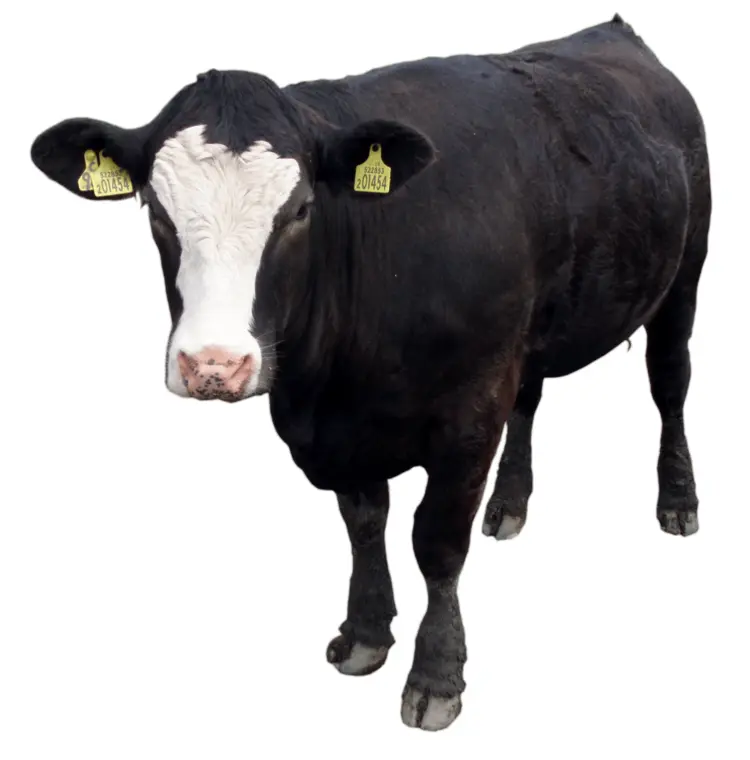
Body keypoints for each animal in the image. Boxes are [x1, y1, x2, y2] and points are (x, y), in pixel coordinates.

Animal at [30, 14, 711, 731]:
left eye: (301, 210)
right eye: (156, 212)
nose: (214, 363)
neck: (334, 383)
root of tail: (612, 31)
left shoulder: (470, 412)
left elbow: (435, 542)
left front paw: (436, 675)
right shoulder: (341, 431)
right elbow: (364, 524)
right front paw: (364, 634)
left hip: (684, 275)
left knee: (670, 384)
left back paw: (677, 500)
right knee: (531, 398)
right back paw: (509, 503)